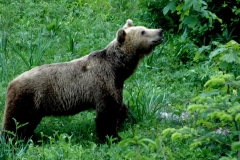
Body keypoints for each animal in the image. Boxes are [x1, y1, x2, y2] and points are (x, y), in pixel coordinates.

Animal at [1, 19, 163, 141]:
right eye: (143, 31)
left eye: (145, 27)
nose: (160, 31)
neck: (117, 69)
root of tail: (10, 83)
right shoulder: (102, 83)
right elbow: (106, 113)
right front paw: (111, 137)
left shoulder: (115, 84)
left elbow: (120, 107)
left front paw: (125, 120)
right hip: (29, 97)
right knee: (15, 122)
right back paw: (11, 140)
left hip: (35, 106)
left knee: (28, 124)